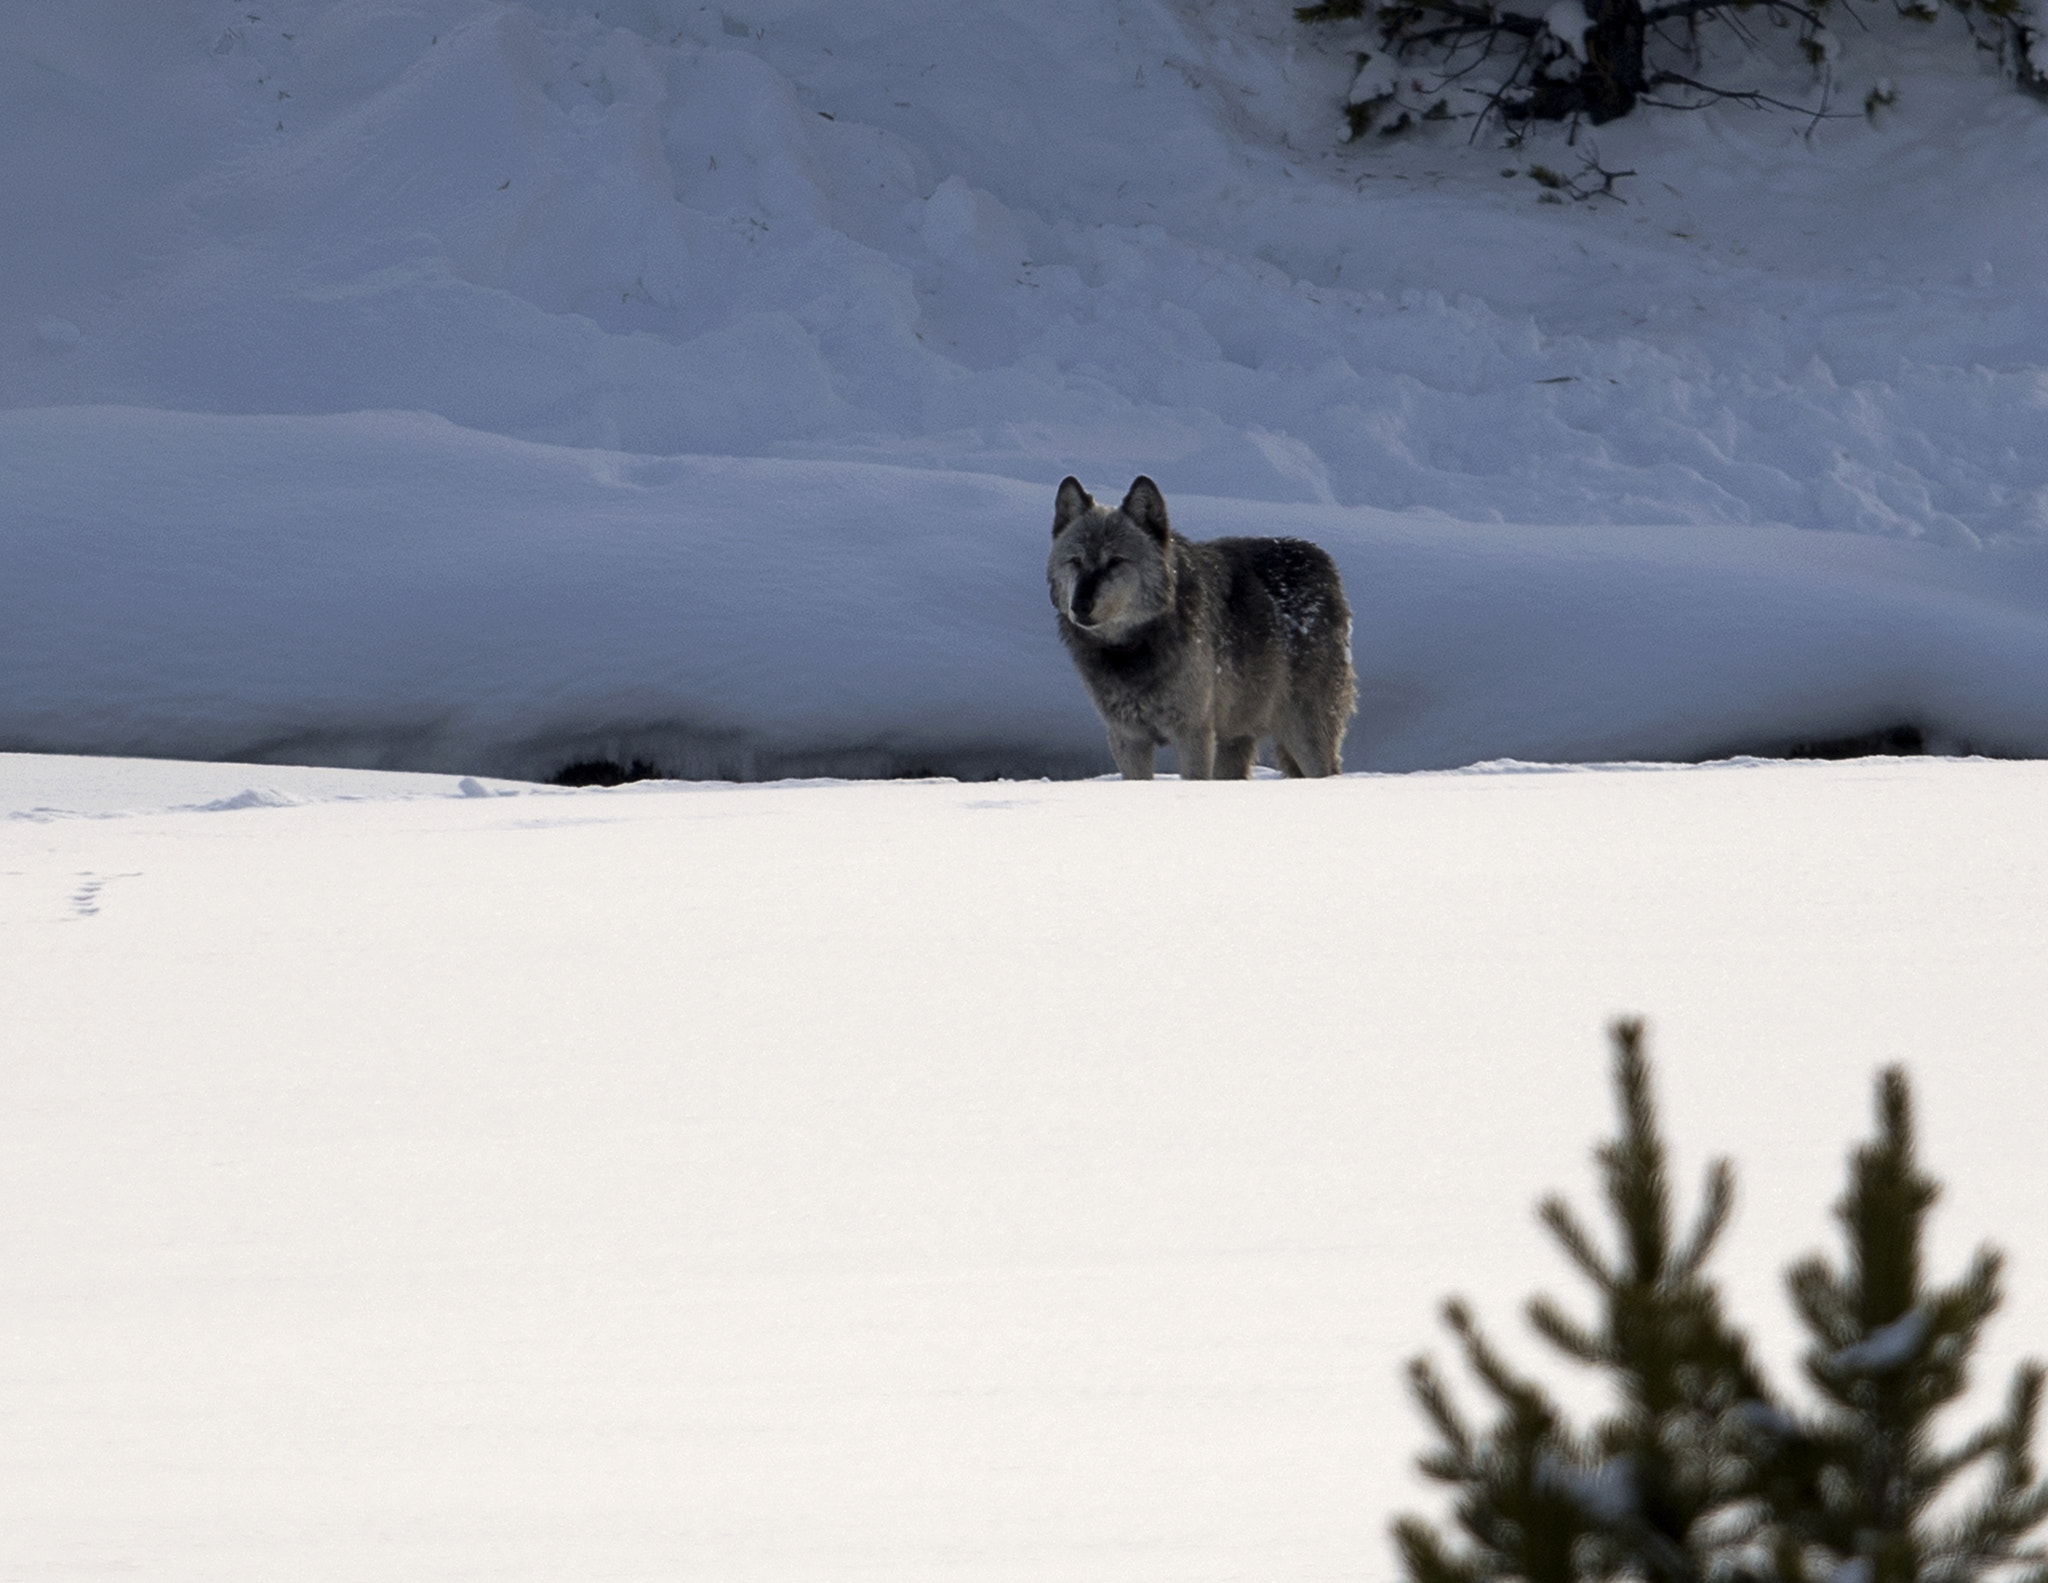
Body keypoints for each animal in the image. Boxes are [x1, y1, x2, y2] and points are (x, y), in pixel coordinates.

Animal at [1048, 479, 1351, 782]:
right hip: (1235, 741)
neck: (1131, 652)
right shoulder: (1127, 739)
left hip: (1303, 738)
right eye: (1075, 561)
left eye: (1115, 561)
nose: (1080, 605)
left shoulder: (1193, 734)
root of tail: (1322, 559)